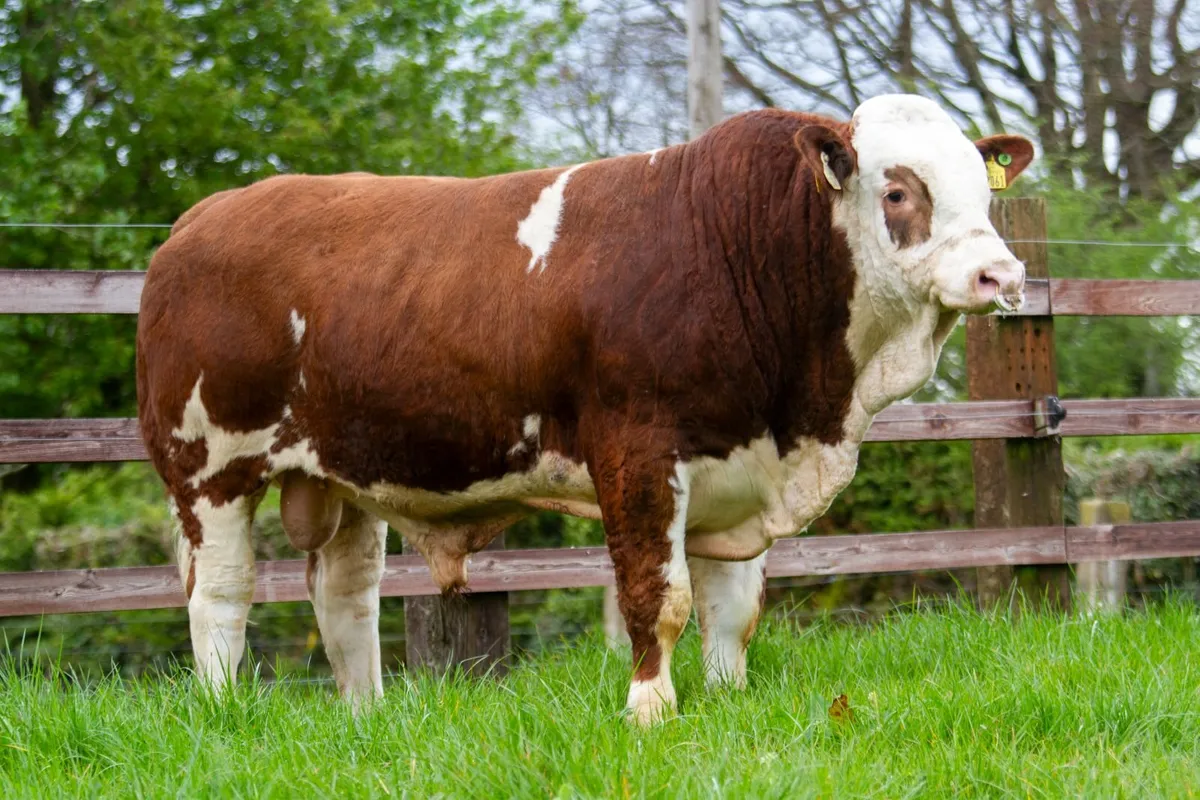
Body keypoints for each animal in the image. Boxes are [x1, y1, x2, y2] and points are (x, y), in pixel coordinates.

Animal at [136, 93, 1033, 724]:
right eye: (899, 190)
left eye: (980, 190)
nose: (1001, 274)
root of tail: (199, 219)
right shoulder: (638, 454)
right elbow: (657, 596)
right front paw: (651, 708)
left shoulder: (738, 460)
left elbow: (734, 611)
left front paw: (729, 698)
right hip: (207, 468)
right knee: (220, 595)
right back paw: (222, 710)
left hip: (345, 470)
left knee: (347, 598)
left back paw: (367, 715)